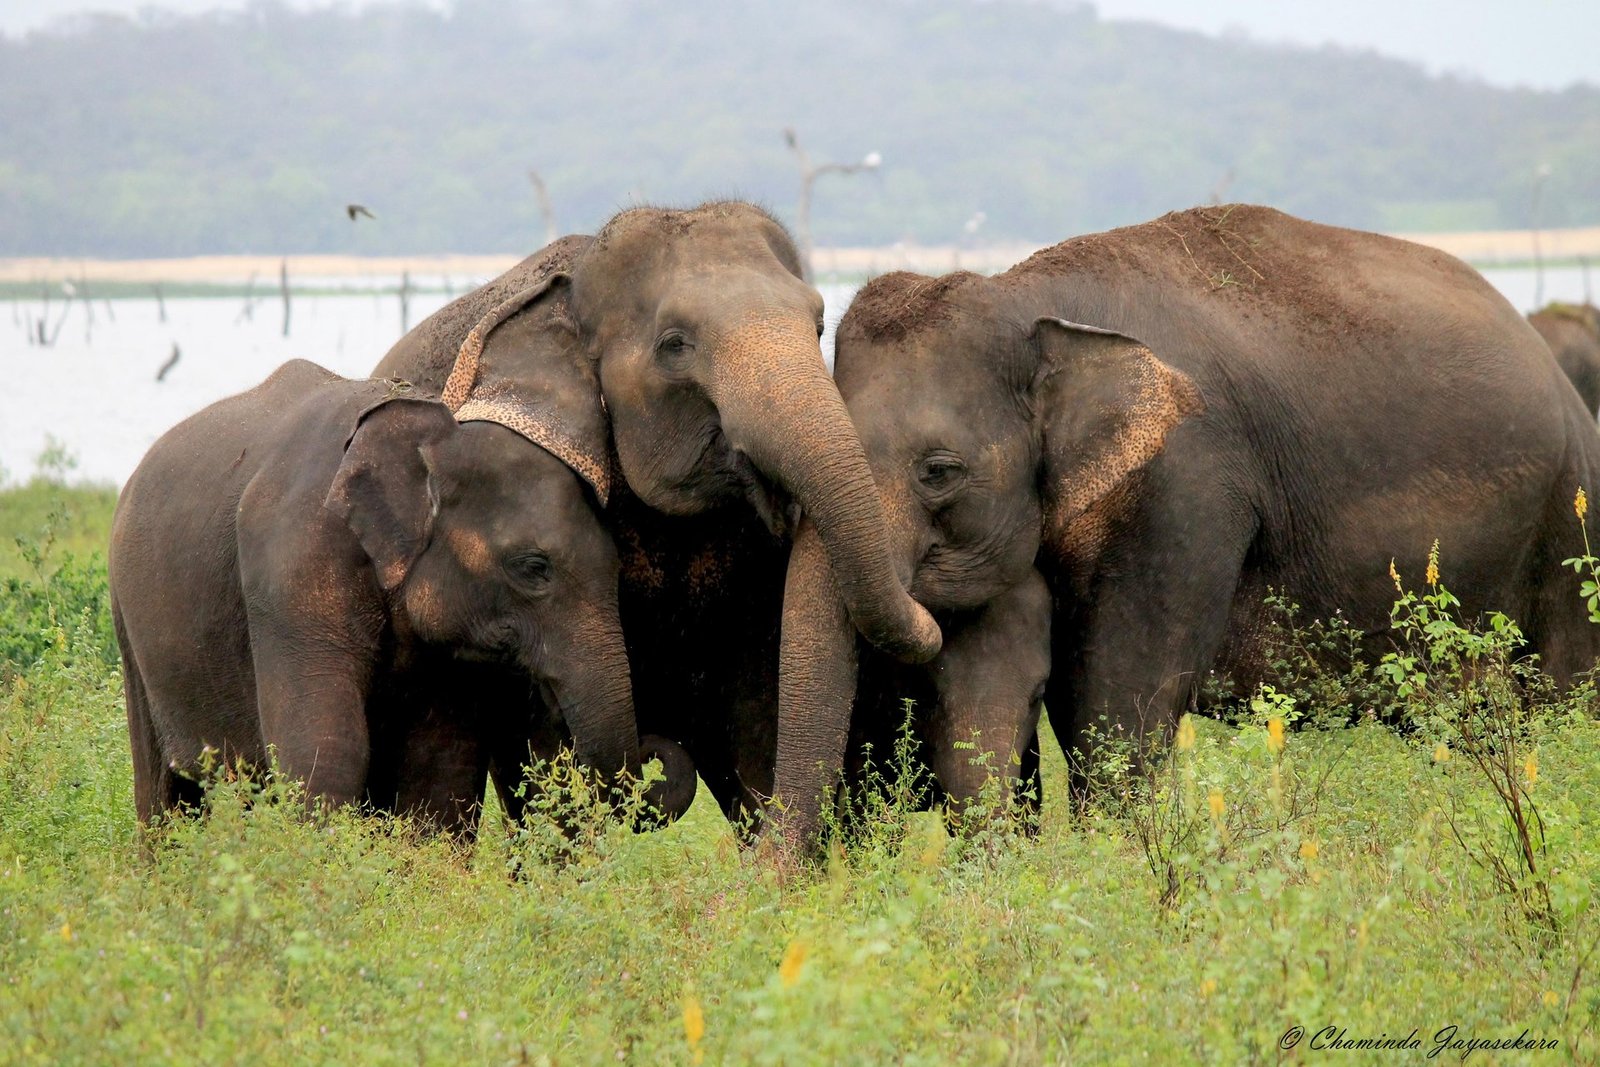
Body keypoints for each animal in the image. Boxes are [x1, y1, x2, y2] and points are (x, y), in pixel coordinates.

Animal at [112, 289, 695, 834]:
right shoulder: (292, 563)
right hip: (128, 622)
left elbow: (438, 770)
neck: (431, 427)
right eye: (533, 567)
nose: (655, 746)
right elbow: (327, 753)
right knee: (163, 793)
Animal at [770, 203, 1600, 849]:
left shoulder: (1186, 484)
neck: (1034, 302)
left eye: (939, 470)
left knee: (1562, 696)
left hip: (1570, 525)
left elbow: (1116, 710)